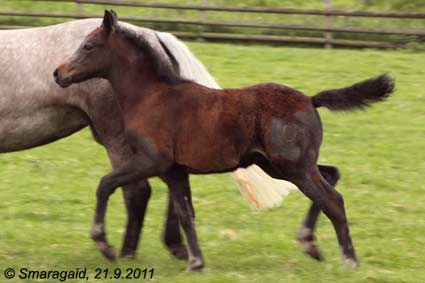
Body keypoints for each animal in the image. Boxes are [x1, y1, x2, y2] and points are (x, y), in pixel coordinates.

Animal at [53, 10, 394, 270]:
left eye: (88, 46)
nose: (59, 73)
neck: (151, 96)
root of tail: (310, 100)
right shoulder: (174, 170)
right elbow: (185, 213)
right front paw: (196, 262)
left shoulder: (152, 161)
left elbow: (106, 184)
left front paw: (103, 243)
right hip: (281, 165)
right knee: (331, 175)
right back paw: (309, 243)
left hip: (293, 166)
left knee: (332, 200)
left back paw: (348, 260)